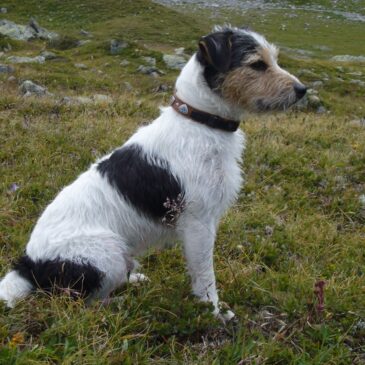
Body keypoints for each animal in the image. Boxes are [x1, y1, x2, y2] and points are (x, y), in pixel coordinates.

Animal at [0, 24, 304, 318]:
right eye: (257, 64)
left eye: (274, 59)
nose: (302, 90)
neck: (200, 122)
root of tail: (28, 266)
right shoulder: (198, 224)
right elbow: (205, 275)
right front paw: (212, 311)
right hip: (105, 253)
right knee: (80, 304)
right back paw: (118, 304)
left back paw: (133, 280)